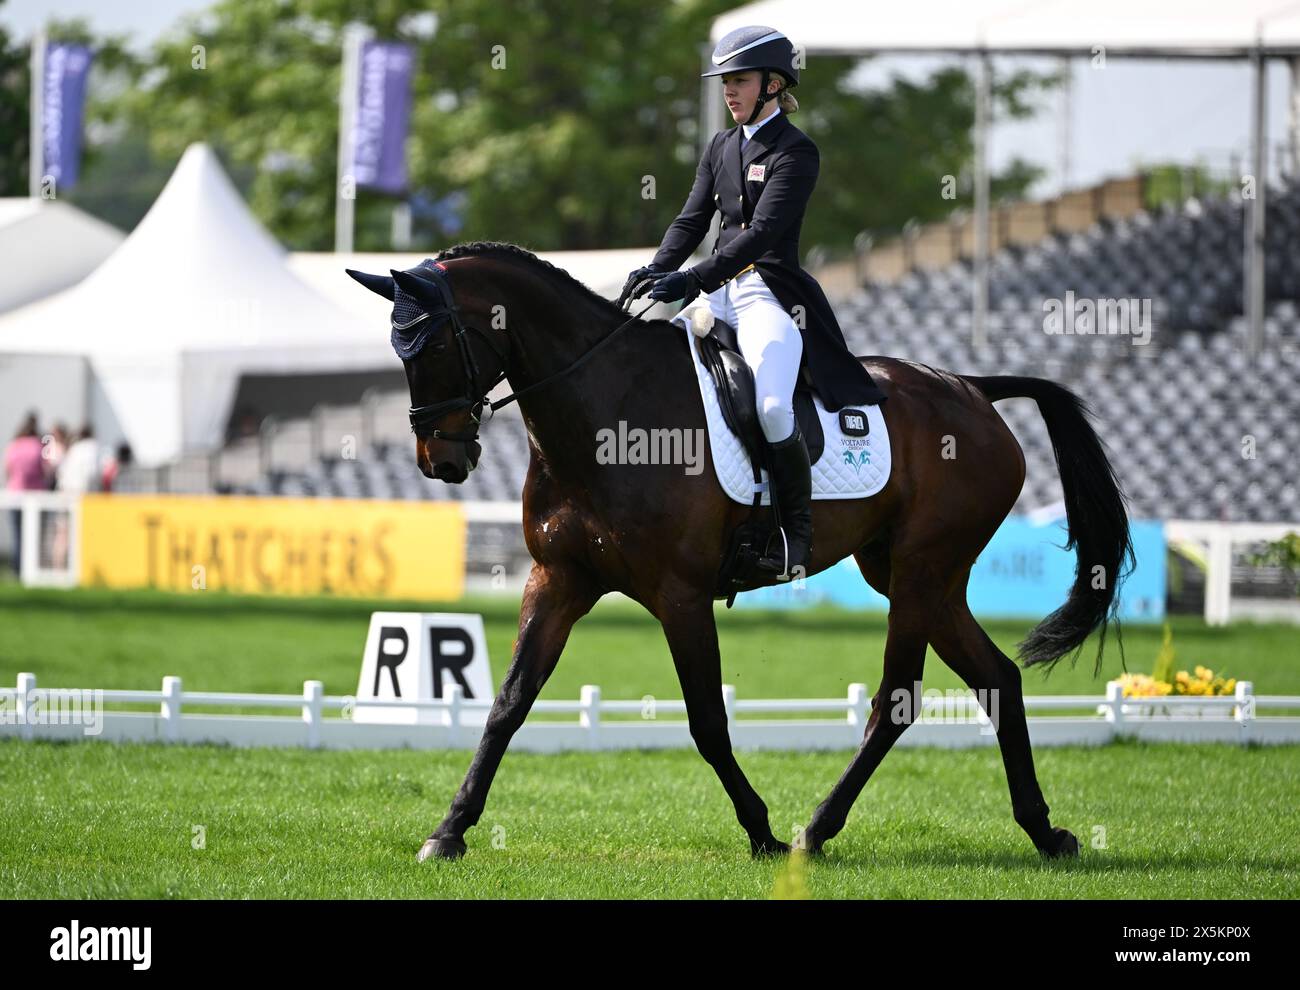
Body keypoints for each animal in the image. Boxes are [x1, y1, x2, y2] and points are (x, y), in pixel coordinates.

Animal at [345, 241, 1128, 862]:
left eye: (433, 345)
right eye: (397, 351)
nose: (443, 461)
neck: (604, 412)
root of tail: (971, 387)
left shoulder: (680, 594)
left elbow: (707, 721)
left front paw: (762, 832)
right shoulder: (558, 579)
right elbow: (508, 705)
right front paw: (449, 830)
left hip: (920, 573)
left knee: (896, 700)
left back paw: (816, 829)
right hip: (914, 576)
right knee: (997, 678)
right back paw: (1045, 832)